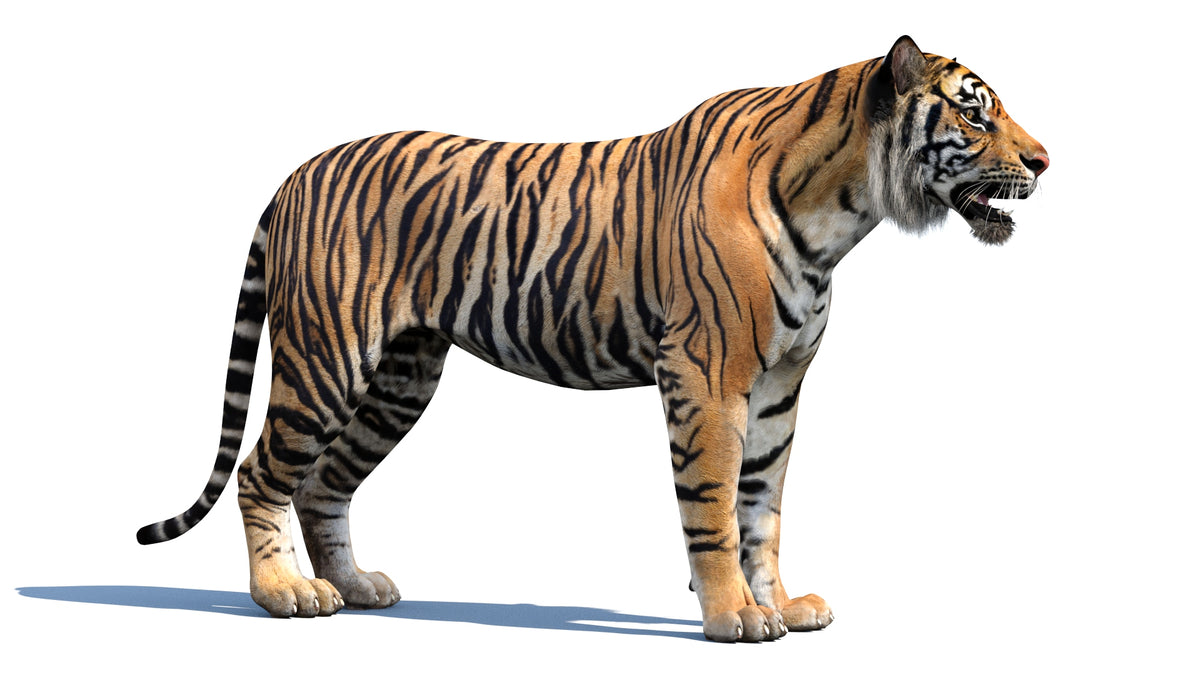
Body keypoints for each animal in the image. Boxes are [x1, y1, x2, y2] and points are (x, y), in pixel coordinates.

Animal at [138, 35, 1047, 642]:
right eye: (976, 114)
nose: (1045, 160)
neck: (843, 213)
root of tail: (296, 173)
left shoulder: (780, 387)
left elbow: (765, 507)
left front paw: (782, 604)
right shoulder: (706, 375)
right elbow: (714, 504)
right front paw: (733, 614)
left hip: (401, 377)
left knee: (326, 483)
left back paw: (356, 583)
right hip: (326, 359)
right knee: (262, 472)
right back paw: (282, 592)